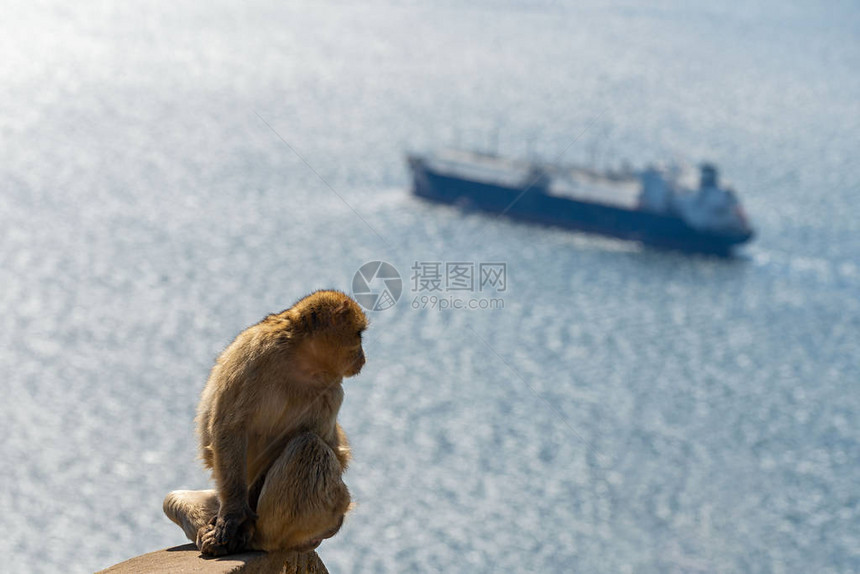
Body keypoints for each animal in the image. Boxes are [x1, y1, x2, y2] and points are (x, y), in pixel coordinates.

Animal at [163, 292, 368, 560]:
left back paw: (254, 538)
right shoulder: (255, 351)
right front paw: (232, 516)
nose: (364, 358)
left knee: (308, 445)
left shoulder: (331, 391)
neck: (299, 357)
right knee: (172, 500)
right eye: (359, 335)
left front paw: (235, 526)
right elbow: (230, 427)